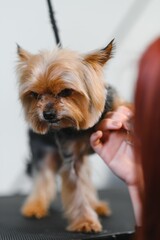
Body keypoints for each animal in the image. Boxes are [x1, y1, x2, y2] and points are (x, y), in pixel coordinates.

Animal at [16, 39, 118, 232]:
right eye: (35, 95)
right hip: (42, 148)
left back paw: (96, 205)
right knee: (43, 177)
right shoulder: (71, 158)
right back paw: (35, 206)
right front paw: (86, 222)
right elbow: (78, 190)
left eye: (66, 92)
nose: (47, 114)